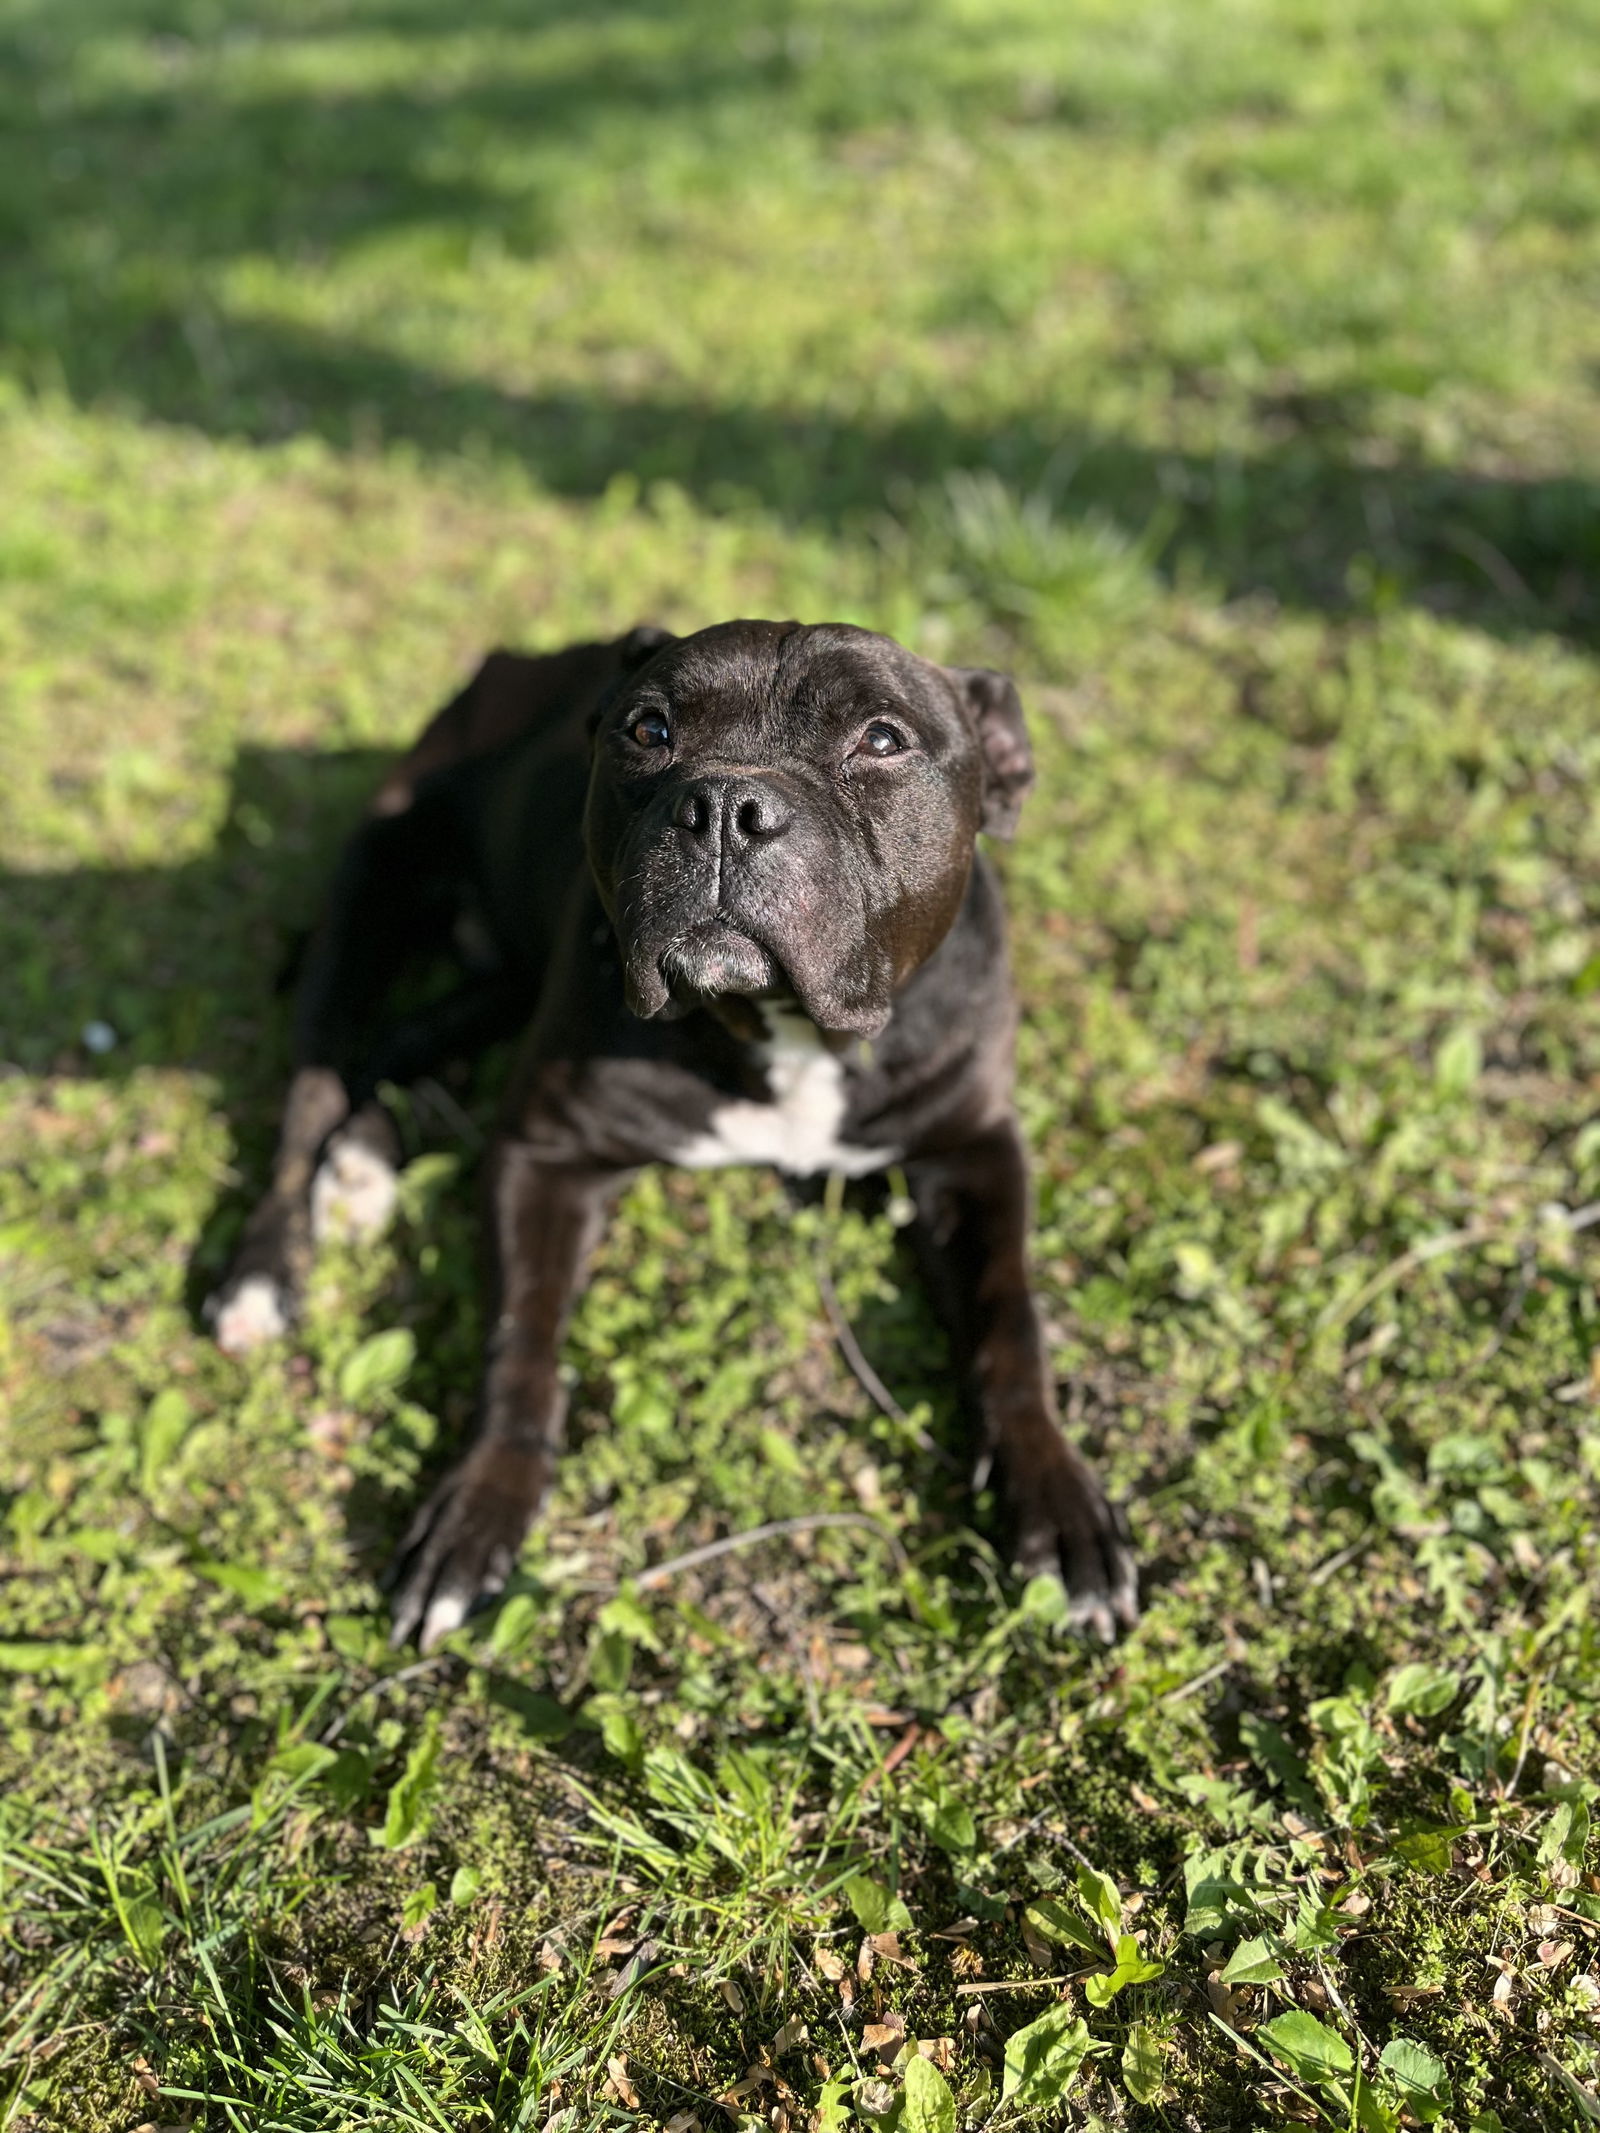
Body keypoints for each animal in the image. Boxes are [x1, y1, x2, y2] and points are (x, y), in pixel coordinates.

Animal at [210, 618, 1143, 1646]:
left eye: (882, 739)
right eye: (649, 728)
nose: (726, 805)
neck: (782, 1027)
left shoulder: (974, 1151)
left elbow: (1010, 1319)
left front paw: (1058, 1500)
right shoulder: (545, 1154)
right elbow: (520, 1341)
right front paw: (479, 1506)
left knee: (404, 1044)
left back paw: (365, 1163)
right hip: (368, 903)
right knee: (312, 1090)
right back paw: (263, 1272)